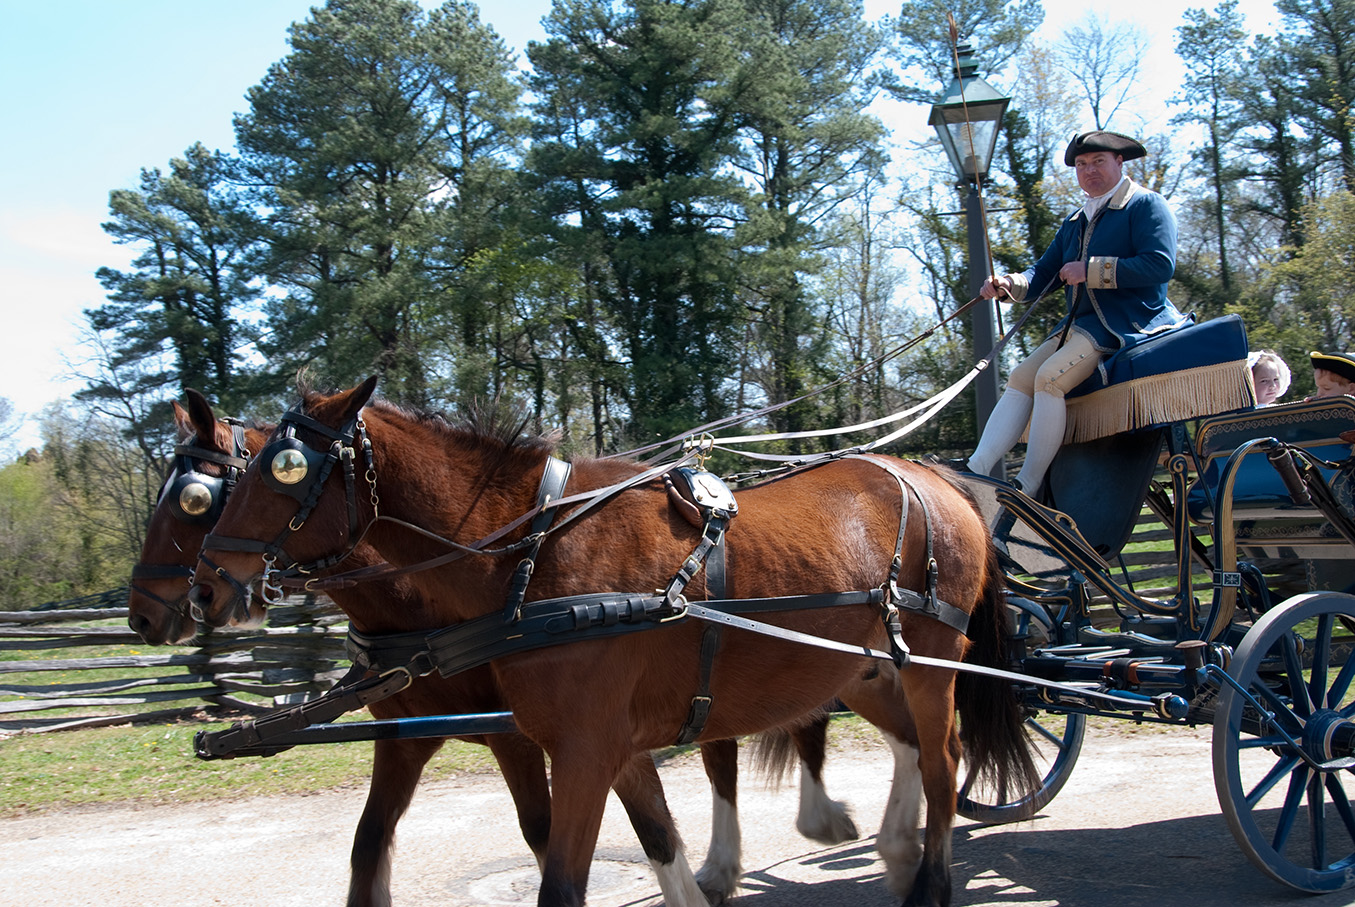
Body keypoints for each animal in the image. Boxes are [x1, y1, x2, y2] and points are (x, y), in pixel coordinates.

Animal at [188, 379, 1035, 905]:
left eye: (285, 469)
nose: (205, 586)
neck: (534, 556)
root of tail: (937, 479)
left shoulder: (586, 748)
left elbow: (564, 881)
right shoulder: (608, 746)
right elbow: (657, 836)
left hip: (928, 664)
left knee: (942, 761)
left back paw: (927, 880)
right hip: (863, 669)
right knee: (911, 746)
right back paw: (892, 849)